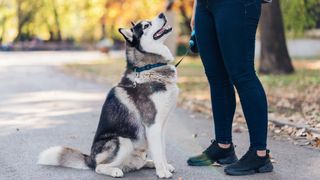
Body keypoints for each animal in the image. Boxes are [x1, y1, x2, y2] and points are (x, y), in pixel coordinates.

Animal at [37, 13, 180, 179]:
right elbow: (158, 152)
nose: (162, 14)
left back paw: (148, 163)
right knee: (99, 167)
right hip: (122, 141)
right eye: (146, 25)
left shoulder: (161, 125)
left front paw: (165, 166)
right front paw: (162, 172)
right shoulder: (152, 124)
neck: (149, 68)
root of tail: (90, 159)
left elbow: (162, 150)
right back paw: (114, 170)